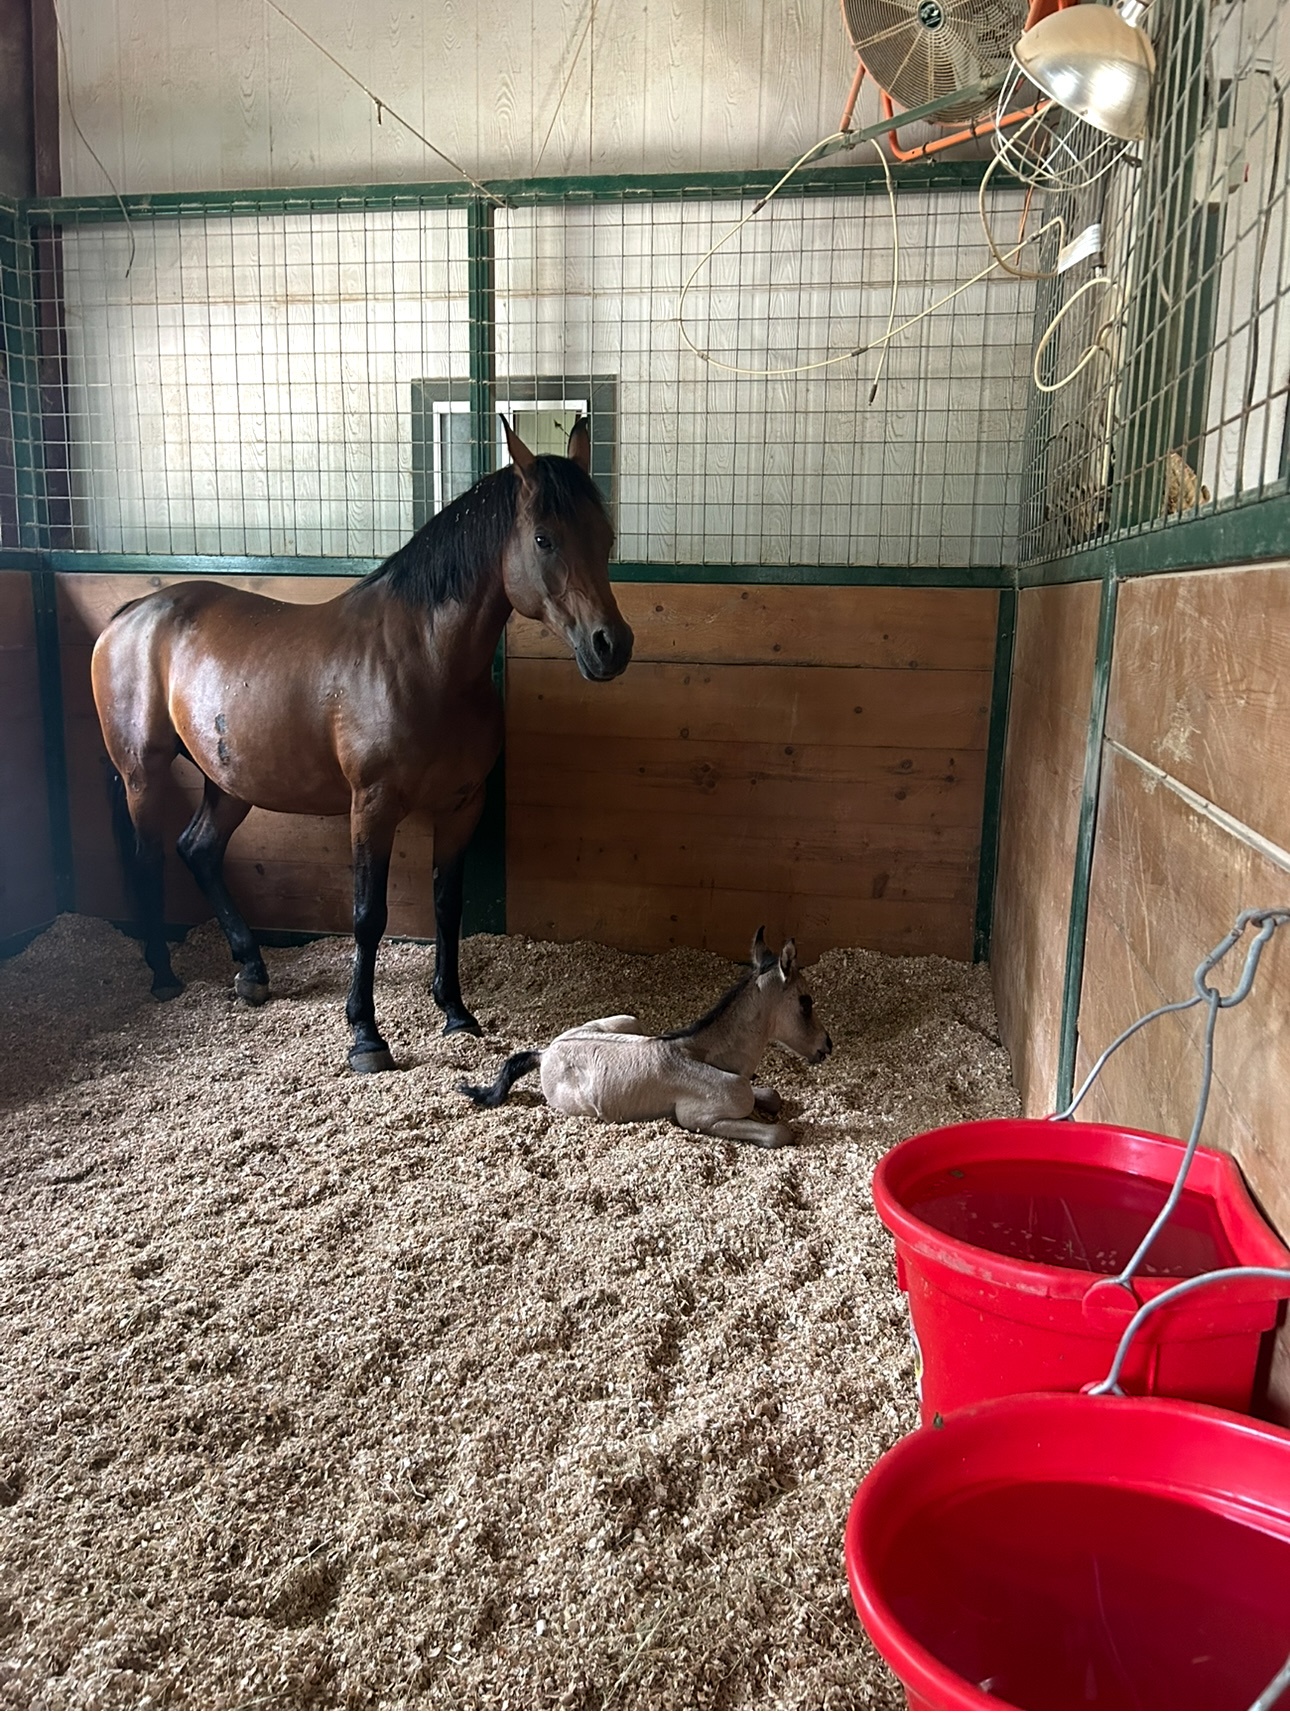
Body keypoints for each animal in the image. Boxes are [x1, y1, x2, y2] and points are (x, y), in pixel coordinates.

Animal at [90, 415, 634, 1070]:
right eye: (545, 539)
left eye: (605, 538)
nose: (611, 645)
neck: (426, 660)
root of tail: (130, 614)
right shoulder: (372, 806)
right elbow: (368, 915)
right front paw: (366, 1035)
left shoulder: (462, 804)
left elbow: (447, 905)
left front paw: (456, 1013)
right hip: (142, 775)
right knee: (148, 857)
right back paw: (164, 976)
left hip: (230, 781)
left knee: (197, 850)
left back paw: (251, 971)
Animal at [463, 926, 837, 1153]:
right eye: (806, 1002)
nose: (827, 1045)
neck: (706, 1055)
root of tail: (546, 1052)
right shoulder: (698, 1119)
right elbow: (779, 1132)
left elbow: (772, 1095)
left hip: (630, 1021)